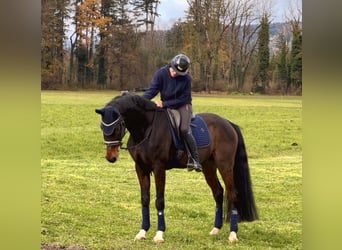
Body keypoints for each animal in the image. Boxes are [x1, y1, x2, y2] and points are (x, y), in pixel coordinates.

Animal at [95, 93, 258, 242]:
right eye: (102, 127)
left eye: (116, 127)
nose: (111, 157)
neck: (146, 128)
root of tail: (228, 123)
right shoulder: (141, 168)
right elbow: (145, 199)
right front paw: (142, 232)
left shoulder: (159, 168)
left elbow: (159, 201)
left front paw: (159, 234)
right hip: (208, 167)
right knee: (218, 193)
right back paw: (215, 229)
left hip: (225, 166)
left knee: (232, 194)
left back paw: (233, 235)